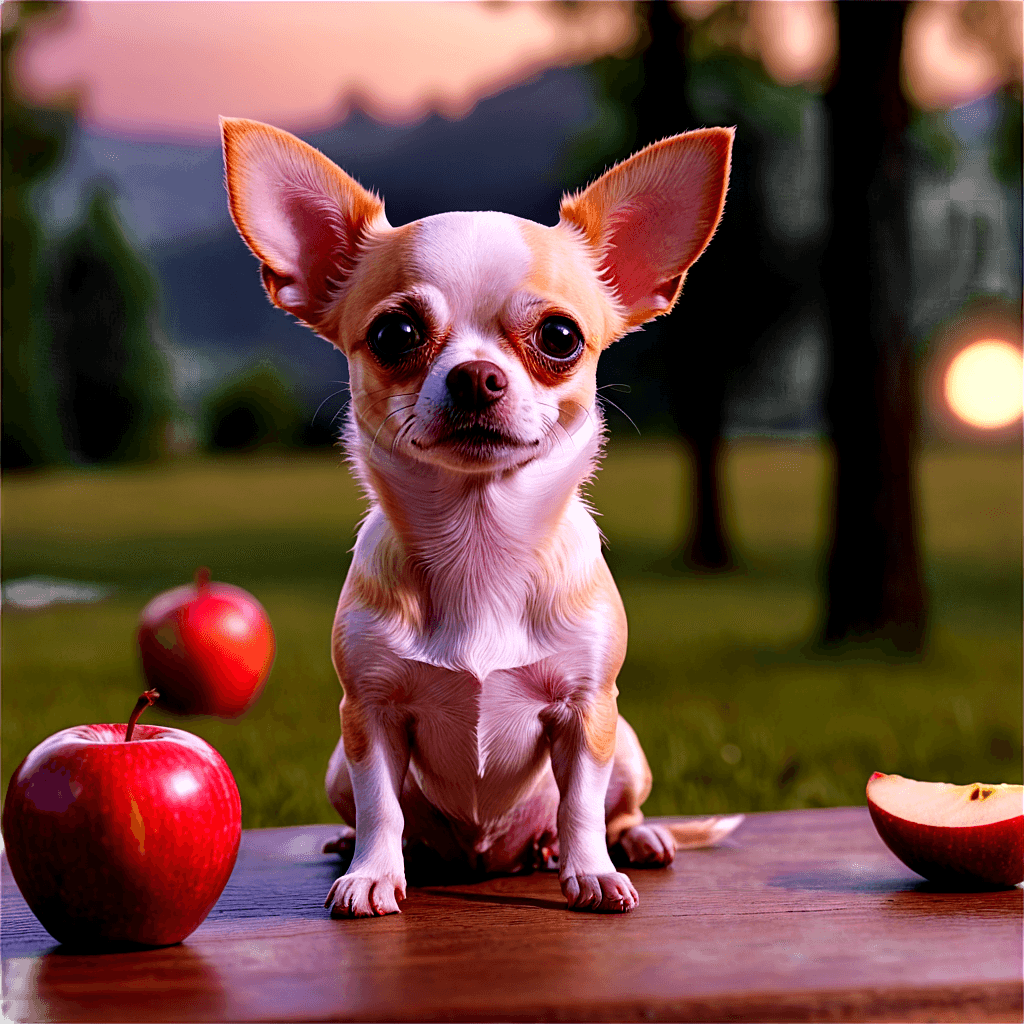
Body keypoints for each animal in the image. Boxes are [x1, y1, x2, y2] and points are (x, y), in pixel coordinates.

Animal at [220, 116, 741, 917]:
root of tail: (490, 856)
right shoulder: (369, 715)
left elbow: (581, 804)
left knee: (614, 809)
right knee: (375, 812)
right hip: (339, 761)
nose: (475, 376)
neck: (479, 540)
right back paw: (367, 845)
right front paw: (373, 872)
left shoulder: (586, 712)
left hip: (626, 744)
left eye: (560, 337)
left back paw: (621, 843)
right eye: (394, 335)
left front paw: (590, 871)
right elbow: (382, 805)